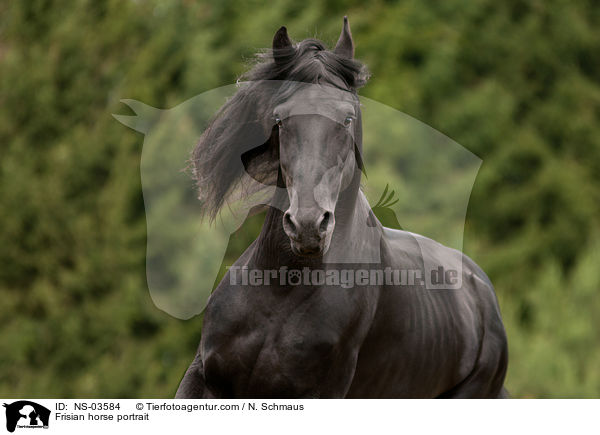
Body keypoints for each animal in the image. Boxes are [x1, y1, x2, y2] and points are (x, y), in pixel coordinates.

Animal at [176, 17, 508, 398]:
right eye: (279, 119)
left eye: (348, 119)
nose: (307, 225)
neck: (281, 290)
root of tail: (483, 292)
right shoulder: (204, 377)